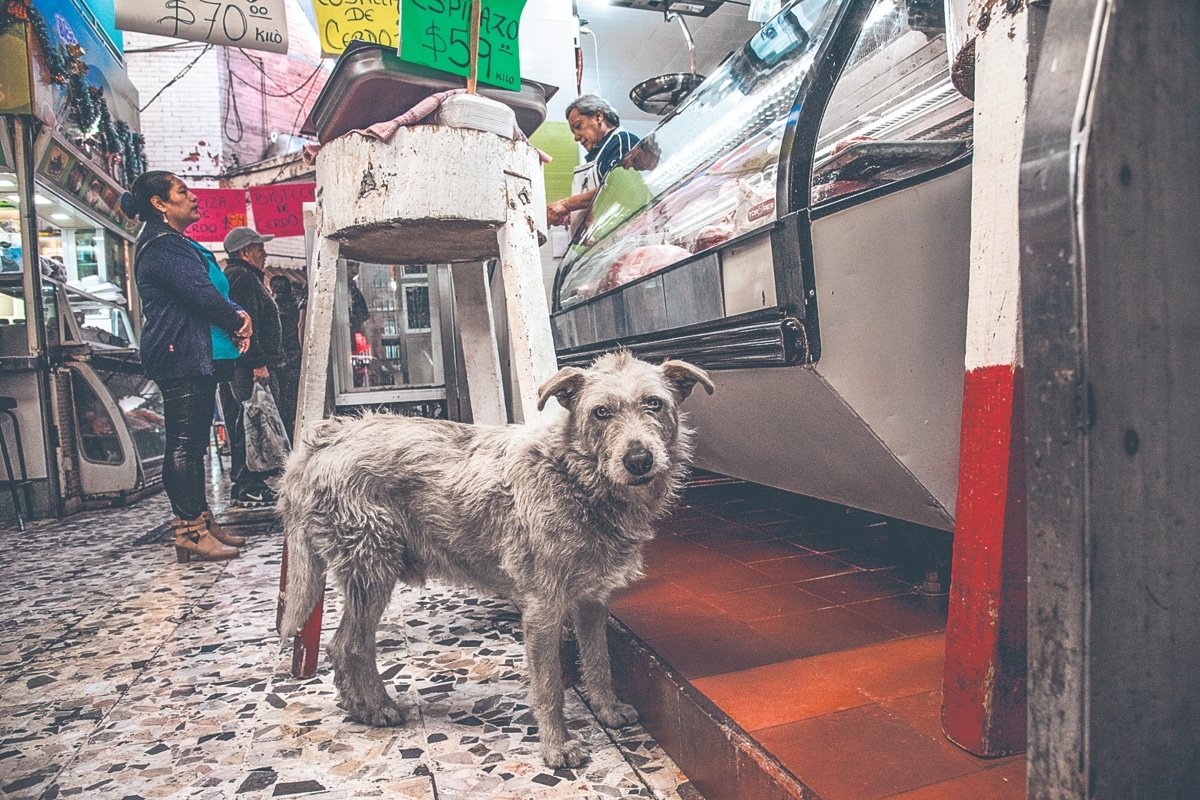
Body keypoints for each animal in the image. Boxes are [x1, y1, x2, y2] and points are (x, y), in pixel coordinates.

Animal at [278, 352, 710, 767]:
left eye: (654, 404)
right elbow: (549, 687)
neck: (574, 477)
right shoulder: (542, 610)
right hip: (373, 570)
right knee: (353, 646)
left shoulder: (591, 602)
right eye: (600, 412)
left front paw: (606, 710)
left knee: (339, 645)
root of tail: (331, 436)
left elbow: (598, 661)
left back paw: (356, 706)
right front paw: (556, 746)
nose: (639, 460)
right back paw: (378, 708)